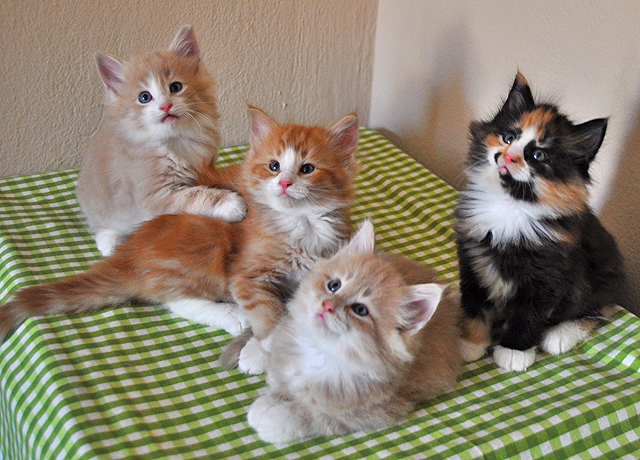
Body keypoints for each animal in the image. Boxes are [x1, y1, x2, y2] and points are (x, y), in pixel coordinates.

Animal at [0, 108, 359, 343]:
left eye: (307, 168)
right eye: (273, 166)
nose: (284, 183)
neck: (303, 222)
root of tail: (131, 254)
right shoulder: (246, 273)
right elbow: (267, 312)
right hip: (207, 239)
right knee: (171, 298)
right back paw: (231, 315)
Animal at [76, 24, 246, 257]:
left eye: (175, 87)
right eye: (144, 97)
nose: (165, 105)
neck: (175, 140)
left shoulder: (205, 166)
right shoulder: (155, 194)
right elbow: (195, 196)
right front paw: (232, 205)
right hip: (103, 208)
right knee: (102, 228)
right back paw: (110, 245)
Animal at [244, 220, 462, 443]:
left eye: (361, 310)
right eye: (334, 285)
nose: (327, 305)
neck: (320, 351)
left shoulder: (373, 411)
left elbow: (312, 416)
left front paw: (273, 416)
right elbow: (279, 377)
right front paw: (274, 391)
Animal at [455, 73, 625, 372]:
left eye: (538, 156)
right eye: (508, 137)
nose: (508, 156)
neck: (511, 206)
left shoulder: (547, 276)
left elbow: (527, 316)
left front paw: (513, 352)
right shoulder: (473, 258)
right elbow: (474, 301)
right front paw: (470, 342)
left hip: (600, 280)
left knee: (600, 308)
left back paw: (560, 335)